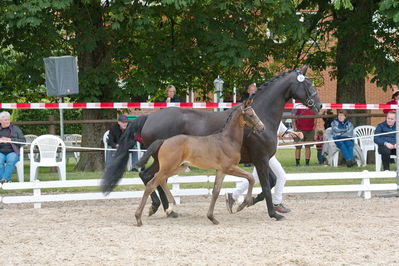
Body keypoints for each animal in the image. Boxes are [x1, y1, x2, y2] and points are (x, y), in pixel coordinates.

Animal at [134, 97, 266, 227]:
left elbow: (216, 191)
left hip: (178, 167)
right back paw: (139, 217)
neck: (227, 140)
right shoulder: (229, 167)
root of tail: (164, 141)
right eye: (250, 114)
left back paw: (170, 208)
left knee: (159, 180)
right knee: (151, 184)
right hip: (169, 167)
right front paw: (244, 204)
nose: (262, 127)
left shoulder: (221, 170)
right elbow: (250, 178)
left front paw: (212, 217)